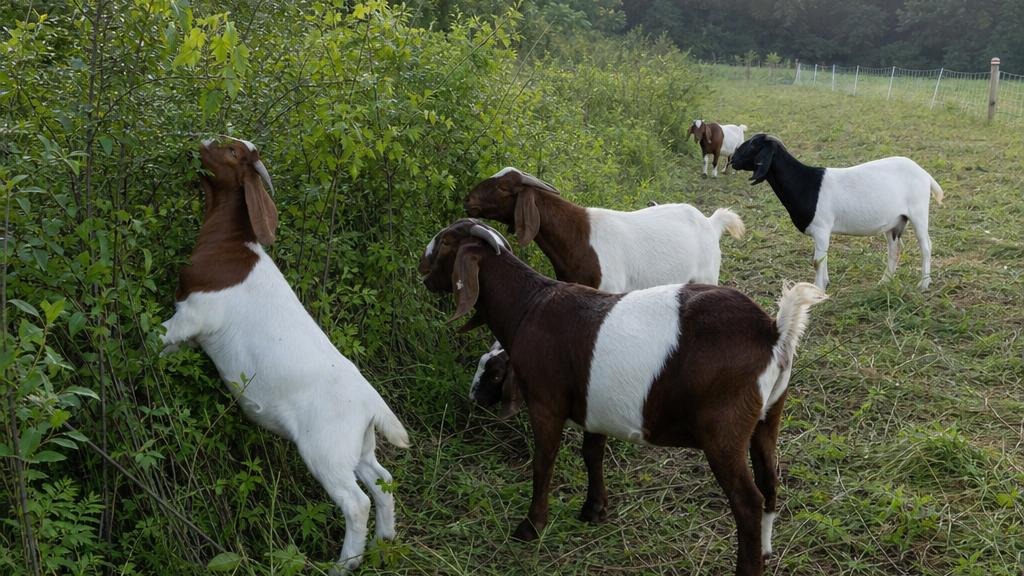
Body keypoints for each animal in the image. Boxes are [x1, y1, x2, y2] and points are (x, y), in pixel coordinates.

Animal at [161, 137, 409, 574]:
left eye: (230, 152)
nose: (199, 141)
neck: (231, 244)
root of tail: (371, 403)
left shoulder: (193, 314)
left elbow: (159, 339)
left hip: (325, 451)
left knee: (356, 502)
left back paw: (343, 564)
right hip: (356, 447)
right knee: (383, 481)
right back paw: (384, 540)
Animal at [420, 219, 828, 576]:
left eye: (445, 243)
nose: (421, 268)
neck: (529, 307)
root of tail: (773, 331)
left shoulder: (545, 404)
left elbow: (543, 463)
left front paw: (530, 527)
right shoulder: (596, 406)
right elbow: (592, 453)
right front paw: (594, 510)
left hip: (724, 431)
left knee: (747, 501)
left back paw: (748, 566)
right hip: (768, 416)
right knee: (770, 480)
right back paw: (767, 552)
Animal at [730, 134, 943, 289]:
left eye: (753, 145)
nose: (732, 159)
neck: (805, 182)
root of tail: (925, 174)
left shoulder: (821, 228)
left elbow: (817, 261)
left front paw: (818, 290)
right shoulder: (822, 233)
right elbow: (822, 258)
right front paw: (825, 283)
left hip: (918, 212)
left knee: (926, 245)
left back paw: (924, 283)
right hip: (896, 221)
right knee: (894, 249)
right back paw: (885, 281)